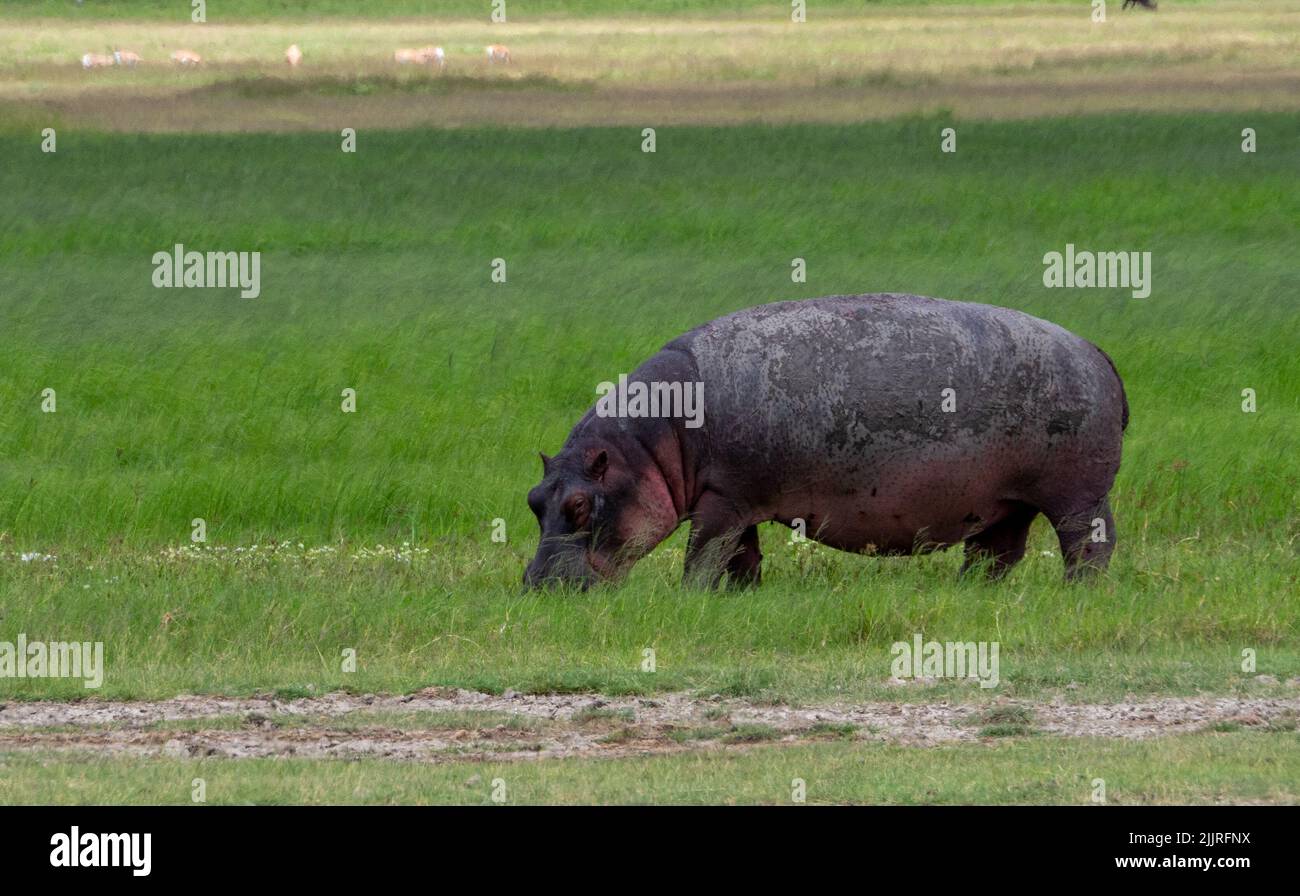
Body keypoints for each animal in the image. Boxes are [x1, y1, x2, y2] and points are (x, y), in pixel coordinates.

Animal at [522, 291, 1123, 587]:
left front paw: (690, 596)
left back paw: (1077, 594)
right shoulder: (737, 500)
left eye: (580, 505)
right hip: (1006, 501)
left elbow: (703, 556)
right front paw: (739, 598)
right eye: (533, 500)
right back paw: (971, 593)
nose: (536, 584)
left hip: (1076, 496)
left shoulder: (722, 501)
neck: (648, 448)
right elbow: (741, 558)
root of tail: (1097, 350)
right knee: (997, 554)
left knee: (1088, 546)